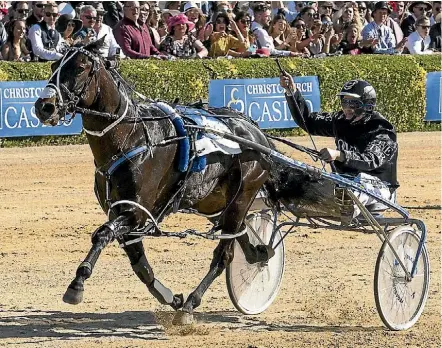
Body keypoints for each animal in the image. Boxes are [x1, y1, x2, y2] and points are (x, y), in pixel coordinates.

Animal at [34, 38, 304, 324]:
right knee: (242, 238)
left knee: (224, 255)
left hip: (243, 195)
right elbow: (139, 264)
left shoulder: (136, 212)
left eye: (81, 67)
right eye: (53, 65)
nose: (44, 106)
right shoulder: (121, 212)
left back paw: (191, 305)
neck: (131, 137)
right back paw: (259, 255)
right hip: (215, 202)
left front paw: (77, 285)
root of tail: (257, 133)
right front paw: (171, 297)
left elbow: (102, 234)